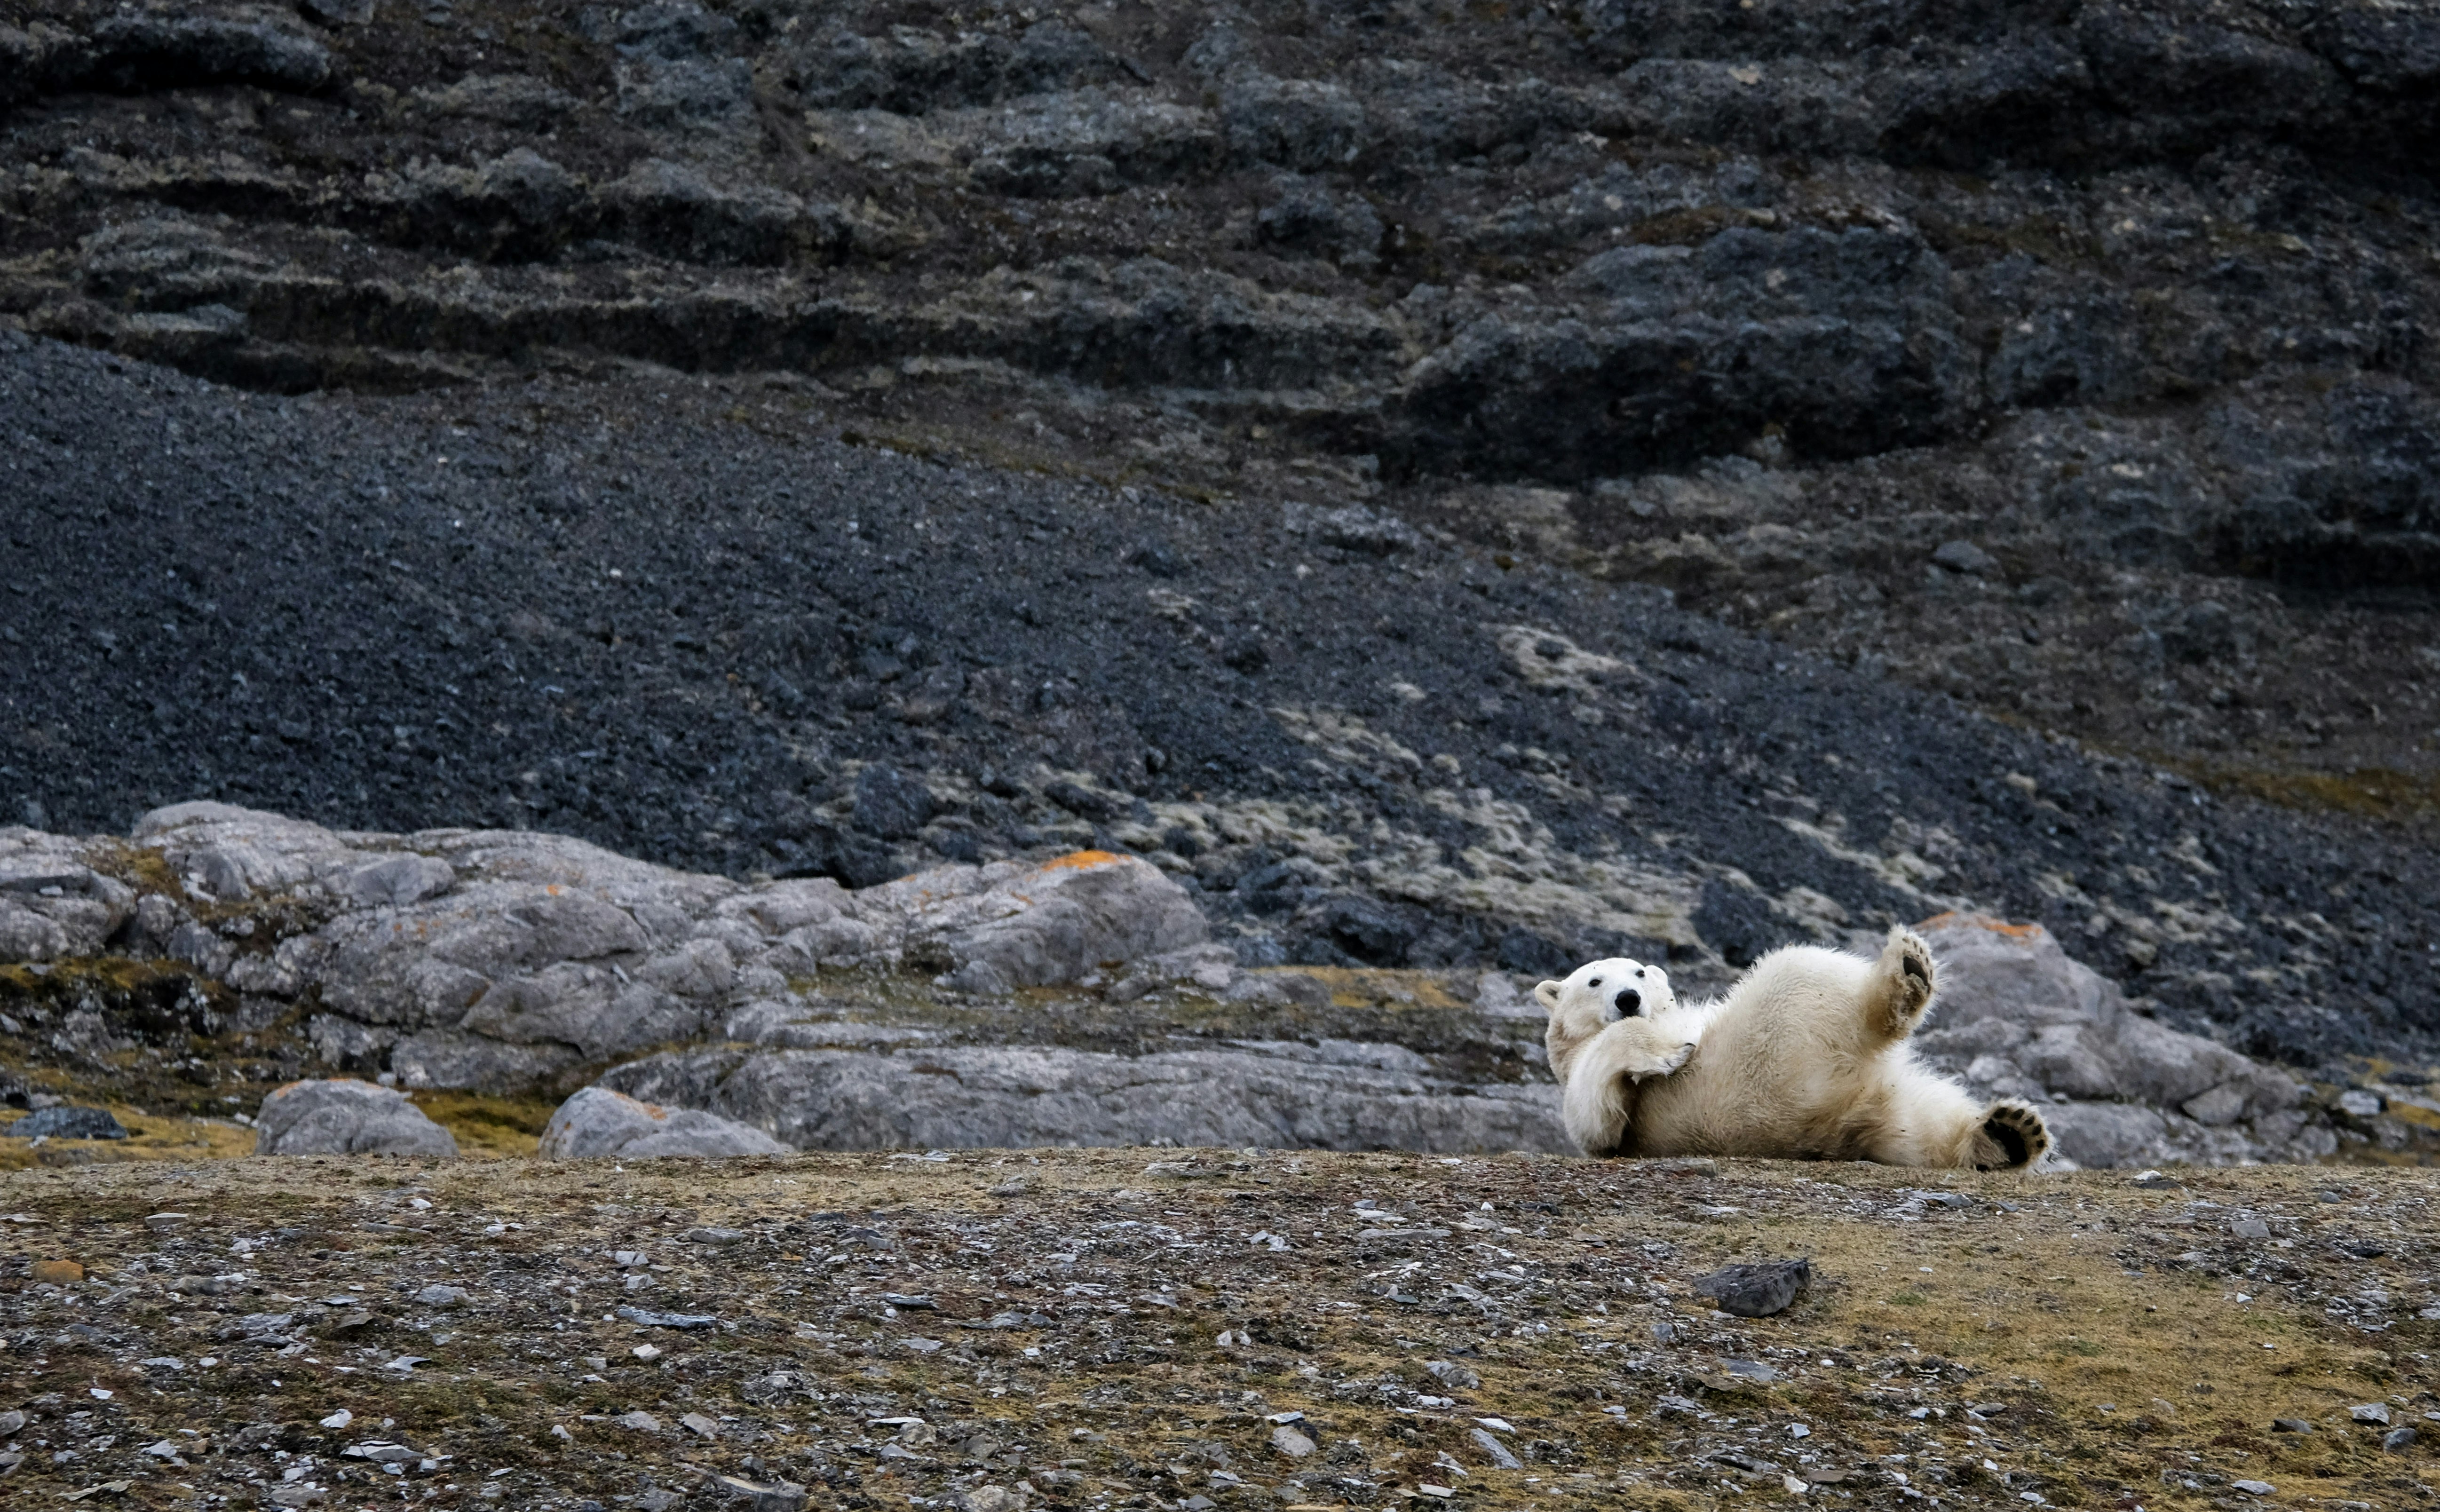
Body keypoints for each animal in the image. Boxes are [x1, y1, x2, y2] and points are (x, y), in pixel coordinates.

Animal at [1537, 925, 2050, 1170]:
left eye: (1640, 972)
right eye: (1594, 981)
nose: (1628, 998)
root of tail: (1825, 1126)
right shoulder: (1593, 1091)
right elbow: (1596, 1114)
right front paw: (1667, 1051)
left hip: (1872, 1103)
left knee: (1923, 1124)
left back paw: (2008, 1134)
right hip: (1762, 1062)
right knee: (1801, 967)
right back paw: (1905, 972)